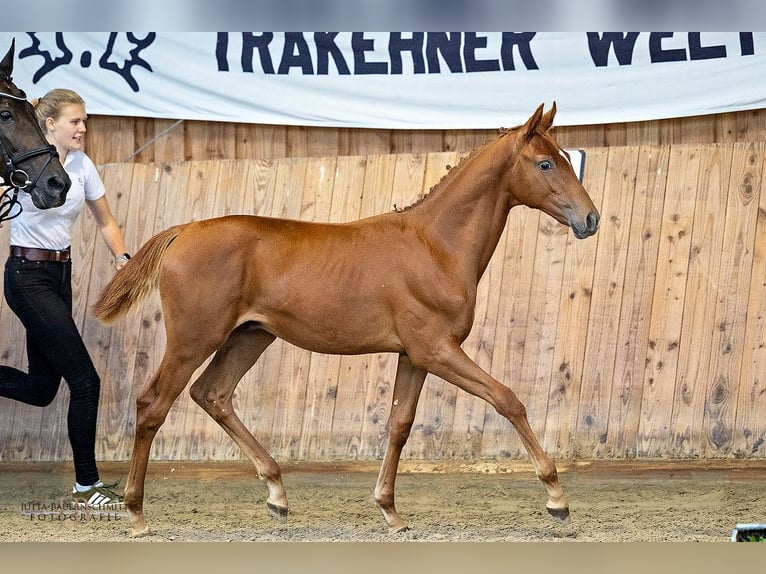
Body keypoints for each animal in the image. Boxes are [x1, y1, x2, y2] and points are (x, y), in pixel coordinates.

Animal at [94, 103, 600, 540]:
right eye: (545, 164)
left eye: (565, 158)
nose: (590, 219)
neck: (434, 245)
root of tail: (183, 232)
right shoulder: (437, 349)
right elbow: (507, 399)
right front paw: (557, 498)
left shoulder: (414, 356)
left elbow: (399, 425)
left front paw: (390, 510)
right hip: (192, 340)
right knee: (152, 405)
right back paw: (136, 514)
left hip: (249, 337)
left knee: (212, 394)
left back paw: (277, 493)